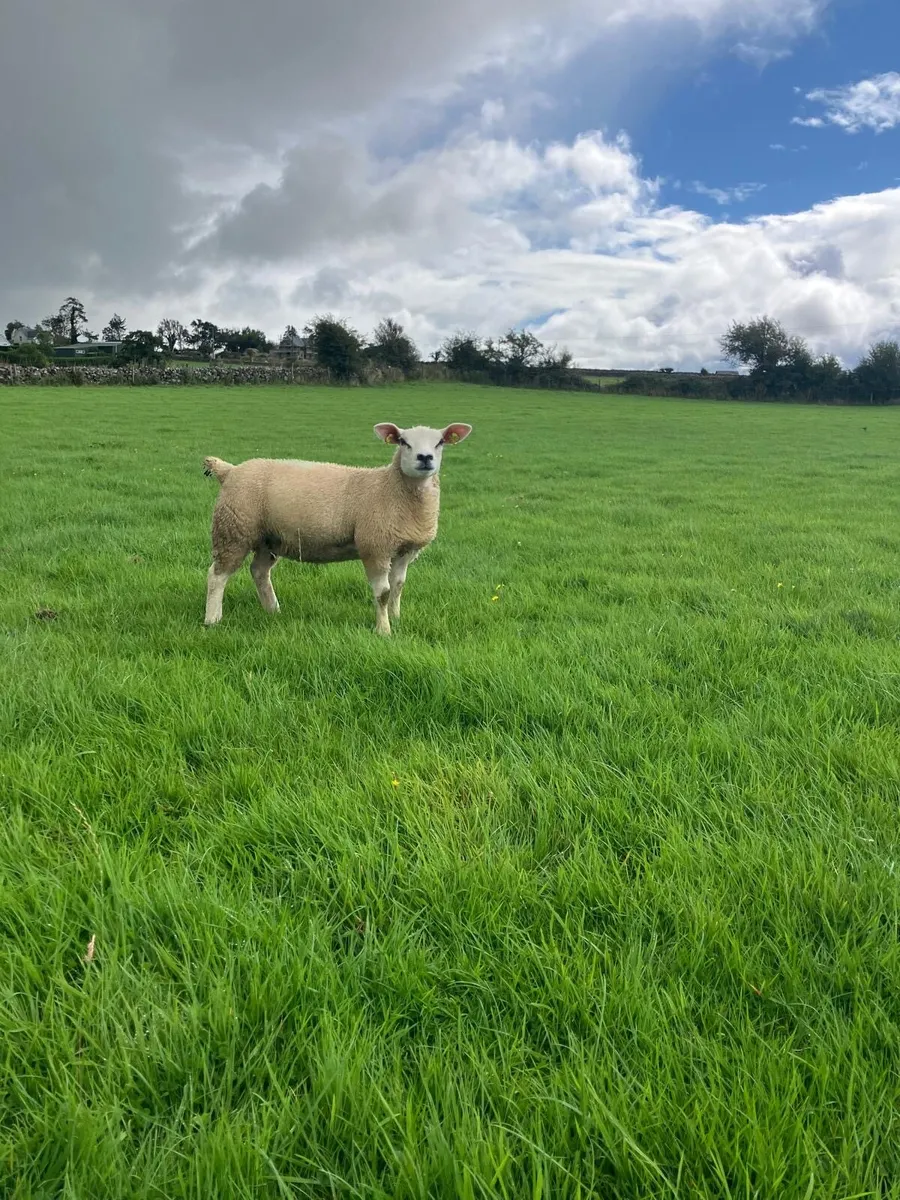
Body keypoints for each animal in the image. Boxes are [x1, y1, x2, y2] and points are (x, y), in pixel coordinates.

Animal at [202, 421, 473, 635]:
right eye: (403, 442)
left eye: (440, 442)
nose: (425, 458)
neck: (389, 488)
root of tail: (229, 470)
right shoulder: (375, 547)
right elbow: (383, 593)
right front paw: (383, 630)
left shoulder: (405, 550)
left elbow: (398, 586)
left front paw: (396, 618)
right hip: (233, 530)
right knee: (217, 575)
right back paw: (212, 619)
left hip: (269, 537)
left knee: (259, 571)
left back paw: (273, 610)